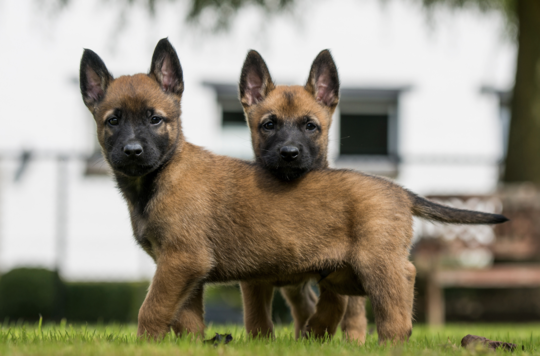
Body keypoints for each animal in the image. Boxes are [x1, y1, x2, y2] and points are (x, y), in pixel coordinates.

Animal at [239, 50, 368, 342]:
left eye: (310, 126)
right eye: (269, 125)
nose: (289, 153)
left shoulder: (334, 267)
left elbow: (335, 305)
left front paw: (319, 332)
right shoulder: (254, 278)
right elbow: (257, 317)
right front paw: (262, 342)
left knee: (353, 310)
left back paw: (354, 339)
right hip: (292, 284)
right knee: (303, 306)